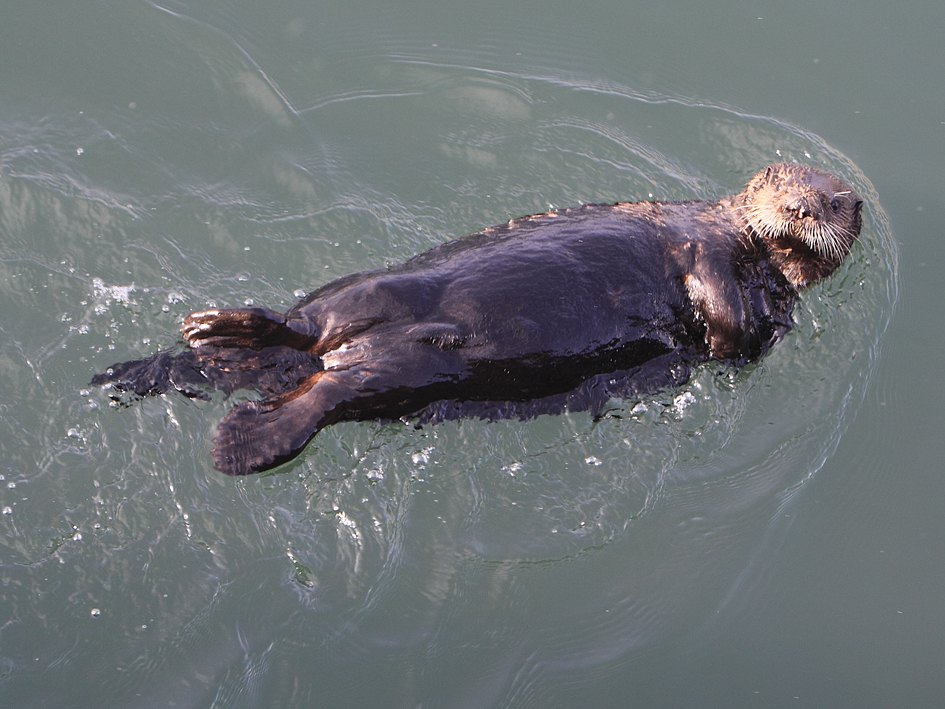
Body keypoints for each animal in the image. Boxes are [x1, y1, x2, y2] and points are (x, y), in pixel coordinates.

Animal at [92, 163, 863, 476]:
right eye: (783, 186)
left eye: (832, 203)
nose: (799, 209)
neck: (744, 248)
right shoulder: (697, 231)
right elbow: (698, 260)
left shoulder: (762, 324)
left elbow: (732, 332)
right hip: (368, 294)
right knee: (303, 329)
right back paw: (219, 330)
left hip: (405, 374)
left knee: (328, 394)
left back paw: (240, 435)